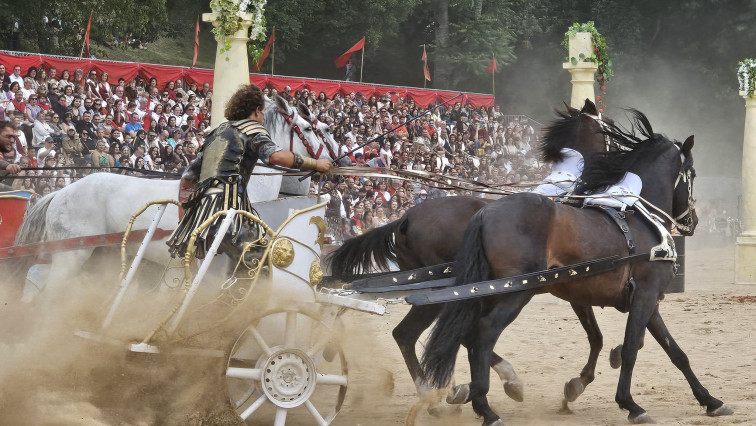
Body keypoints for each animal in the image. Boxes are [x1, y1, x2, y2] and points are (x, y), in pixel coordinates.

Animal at [14, 95, 342, 302]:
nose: (337, 162)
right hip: (71, 257)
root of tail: (60, 193)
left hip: (96, 258)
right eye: (313, 128)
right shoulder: (213, 273)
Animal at [330, 98, 628, 408]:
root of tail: (406, 218)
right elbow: (596, 334)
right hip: (442, 294)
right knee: (418, 333)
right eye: (608, 130)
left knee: (413, 334)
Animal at [420, 112, 732, 426]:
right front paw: (630, 404)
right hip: (515, 292)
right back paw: (486, 405)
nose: (693, 221)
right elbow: (631, 347)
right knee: (483, 333)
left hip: (487, 293)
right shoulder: (645, 295)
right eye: (692, 174)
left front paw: (710, 401)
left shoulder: (641, 298)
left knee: (468, 335)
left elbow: (674, 351)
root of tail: (485, 212)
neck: (640, 219)